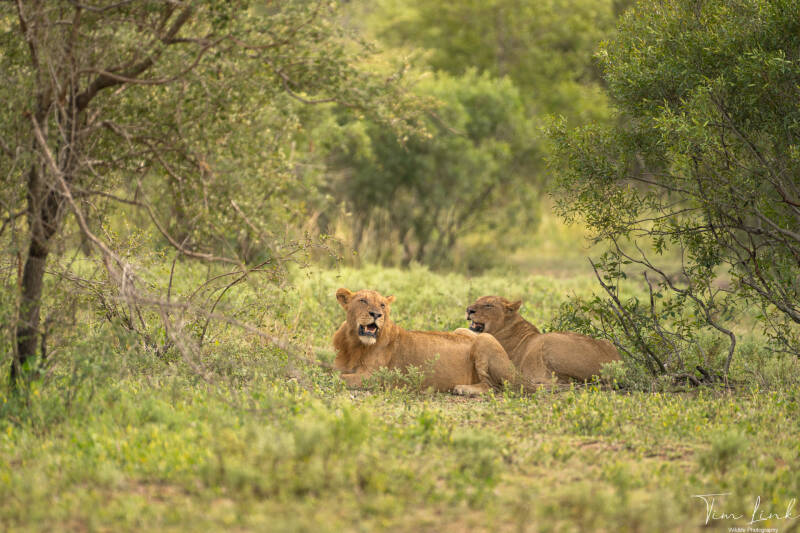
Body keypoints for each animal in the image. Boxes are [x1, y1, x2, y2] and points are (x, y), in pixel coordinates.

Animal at [333, 288, 519, 395]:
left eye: (382, 305)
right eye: (362, 301)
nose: (377, 314)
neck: (354, 344)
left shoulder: (374, 377)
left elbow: (338, 377)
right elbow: (334, 372)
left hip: (485, 339)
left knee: (493, 386)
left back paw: (463, 389)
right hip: (462, 330)